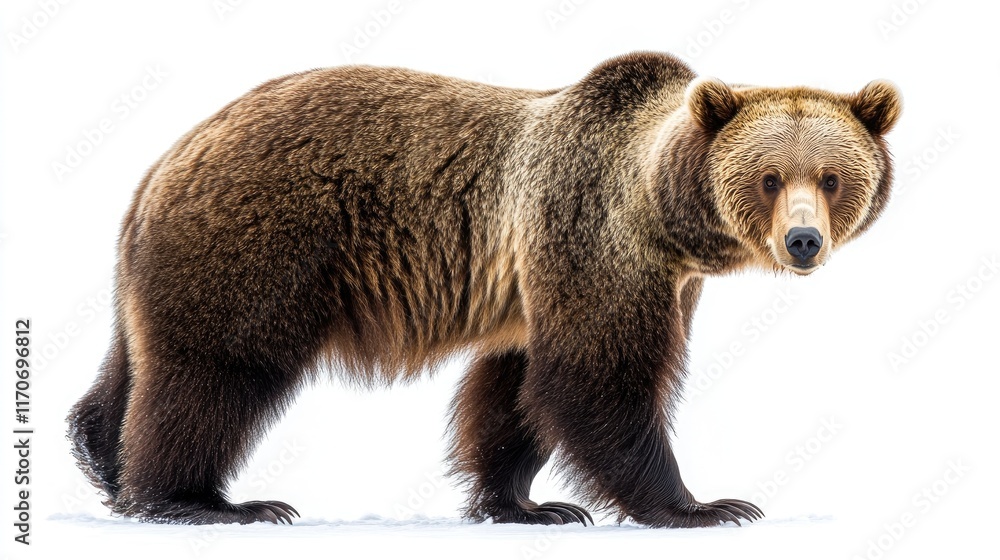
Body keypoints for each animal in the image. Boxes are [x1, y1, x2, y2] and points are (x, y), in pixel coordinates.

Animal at [67, 51, 901, 527]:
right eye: (770, 177)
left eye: (832, 176)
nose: (803, 241)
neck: (667, 216)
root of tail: (166, 161)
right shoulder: (595, 236)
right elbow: (598, 378)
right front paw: (704, 506)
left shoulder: (572, 281)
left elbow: (514, 391)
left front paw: (528, 505)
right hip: (259, 242)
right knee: (217, 371)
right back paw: (204, 503)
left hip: (172, 264)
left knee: (132, 366)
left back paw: (98, 457)